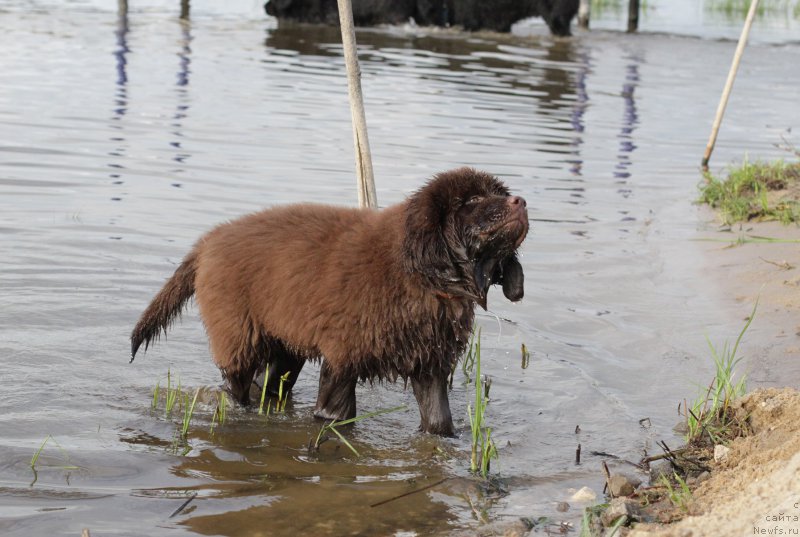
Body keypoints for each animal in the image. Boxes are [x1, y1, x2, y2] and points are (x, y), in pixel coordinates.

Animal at [130, 168, 528, 436]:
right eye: (471, 201)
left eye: (498, 192)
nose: (521, 201)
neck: (424, 275)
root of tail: (206, 242)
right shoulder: (343, 354)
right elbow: (334, 415)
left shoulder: (429, 365)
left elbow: (438, 420)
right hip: (238, 336)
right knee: (237, 387)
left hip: (285, 343)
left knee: (267, 384)